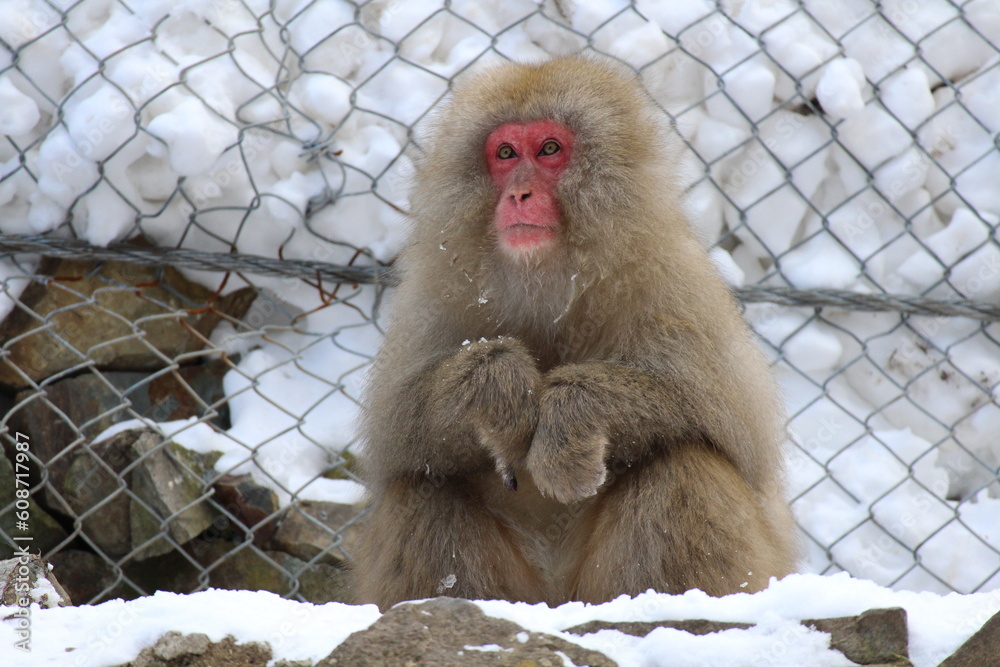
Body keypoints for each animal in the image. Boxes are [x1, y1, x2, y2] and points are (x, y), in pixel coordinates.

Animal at [351, 56, 797, 610]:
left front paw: (572, 410)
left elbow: (731, 422)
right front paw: (494, 385)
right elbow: (394, 434)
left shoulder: (676, 283)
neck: (551, 276)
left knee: (683, 462)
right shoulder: (433, 294)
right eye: (505, 153)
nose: (519, 193)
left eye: (549, 149)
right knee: (423, 484)